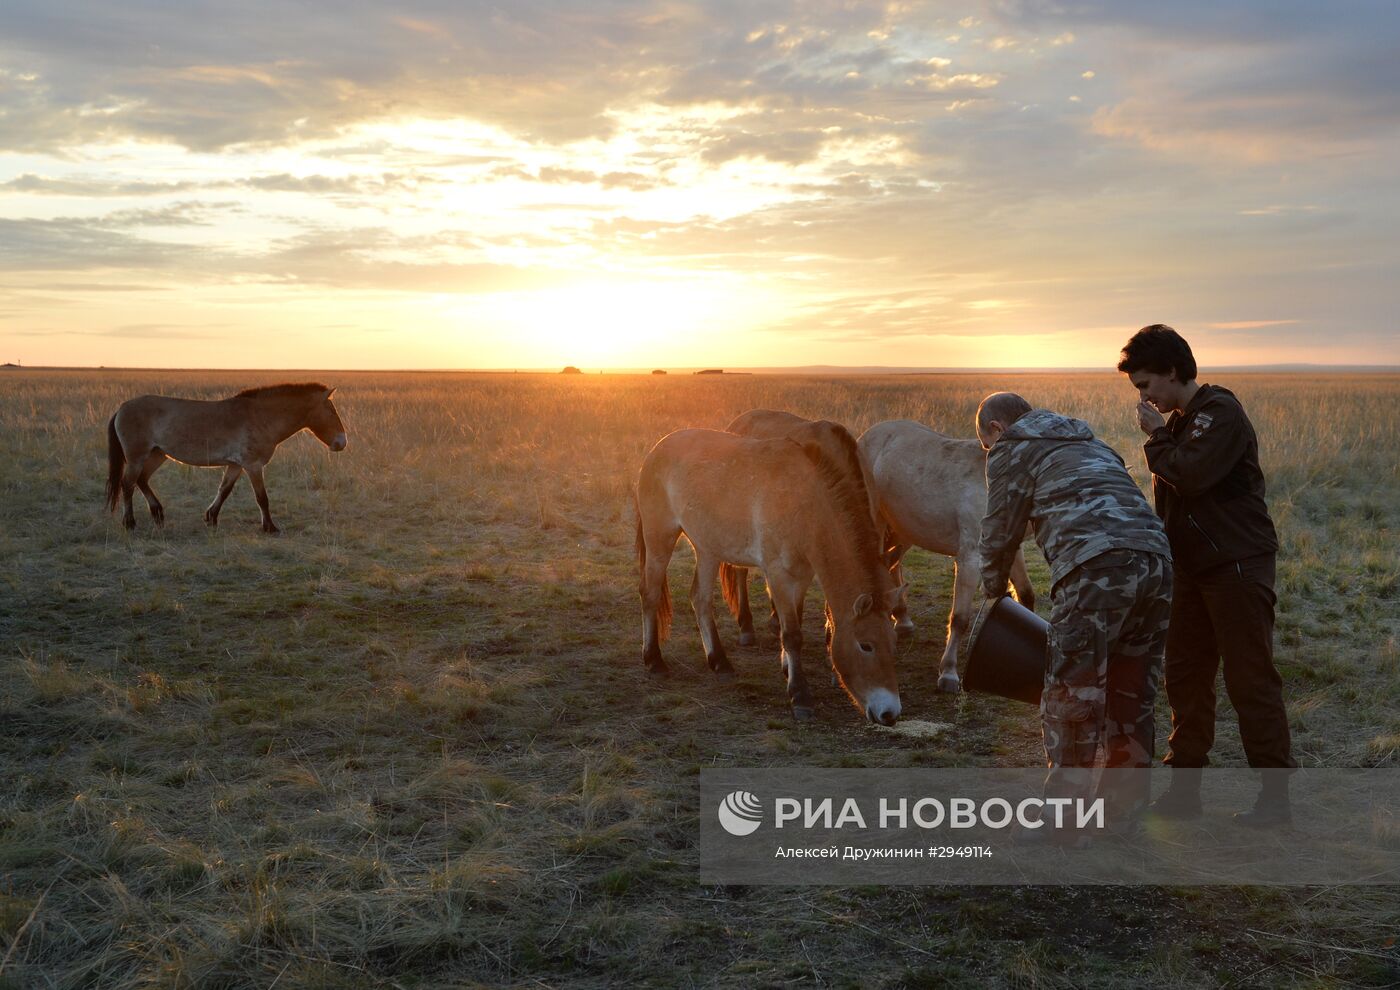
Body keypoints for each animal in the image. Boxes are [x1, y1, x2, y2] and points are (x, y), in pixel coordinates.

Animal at [103, 383, 344, 534]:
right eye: (332, 412)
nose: (342, 442)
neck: (261, 416)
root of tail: (122, 408)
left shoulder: (236, 465)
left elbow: (224, 490)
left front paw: (211, 517)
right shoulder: (252, 465)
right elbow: (262, 498)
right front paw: (270, 527)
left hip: (157, 454)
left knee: (141, 480)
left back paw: (158, 514)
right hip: (137, 457)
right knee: (128, 484)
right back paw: (129, 522)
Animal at [856, 422, 1036, 694]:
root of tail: (866, 436)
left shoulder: (1011, 550)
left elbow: (1026, 595)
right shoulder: (970, 558)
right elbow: (960, 618)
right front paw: (948, 673)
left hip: (905, 530)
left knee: (891, 565)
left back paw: (902, 619)